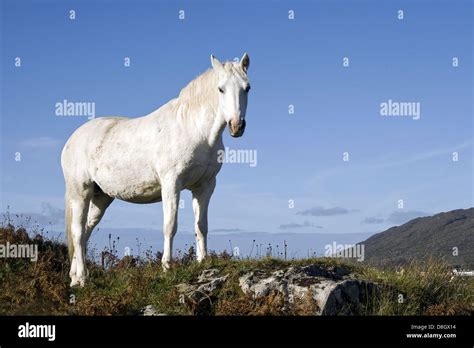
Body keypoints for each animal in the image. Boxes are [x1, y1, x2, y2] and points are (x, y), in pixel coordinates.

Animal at [62, 52, 252, 286]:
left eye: (247, 88)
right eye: (220, 89)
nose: (237, 126)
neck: (193, 129)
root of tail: (73, 139)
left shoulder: (205, 186)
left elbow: (201, 225)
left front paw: (203, 262)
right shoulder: (172, 183)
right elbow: (170, 225)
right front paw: (167, 267)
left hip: (101, 197)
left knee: (85, 231)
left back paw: (75, 277)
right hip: (80, 191)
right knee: (78, 231)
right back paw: (81, 279)